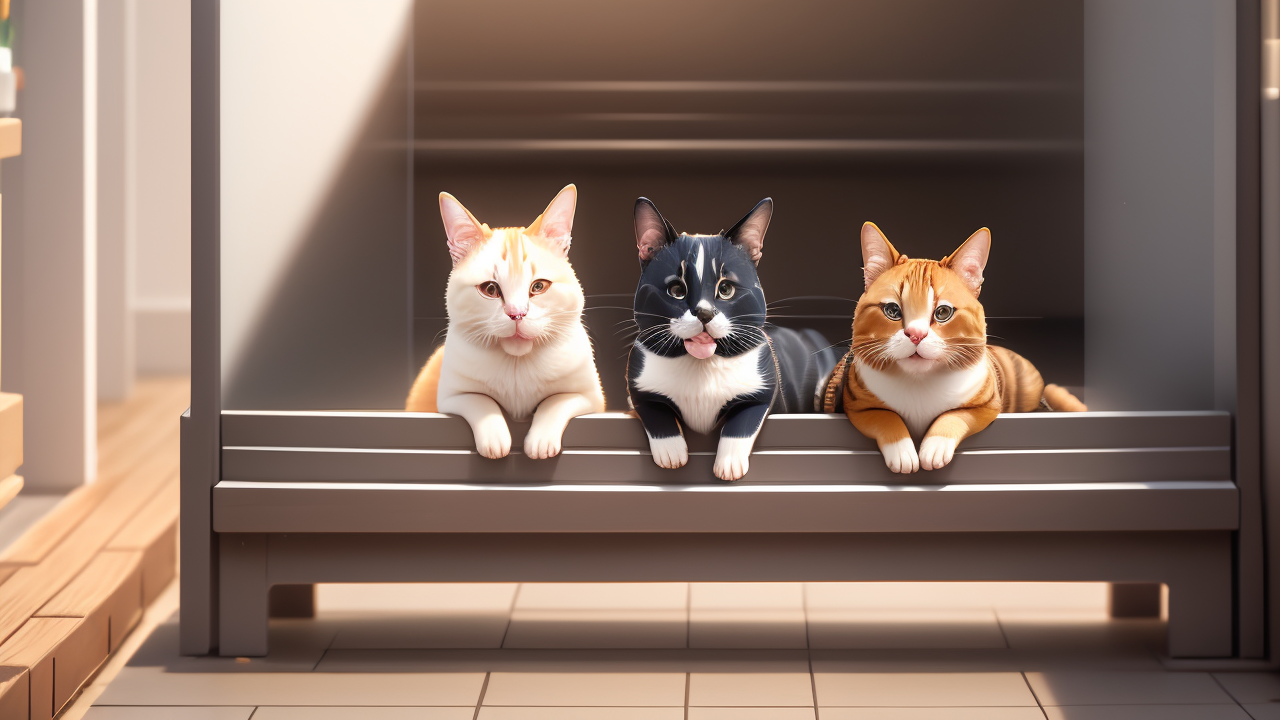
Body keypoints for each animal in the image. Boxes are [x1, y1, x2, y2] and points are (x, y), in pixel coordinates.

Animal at [409, 181, 609, 456]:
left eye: (538, 287)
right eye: (490, 289)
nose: (517, 313)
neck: (517, 365)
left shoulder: (591, 398)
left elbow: (555, 401)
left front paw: (540, 441)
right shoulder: (451, 397)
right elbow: (481, 401)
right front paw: (495, 438)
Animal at [627, 193, 844, 479]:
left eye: (726, 289)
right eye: (676, 290)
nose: (704, 312)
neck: (702, 366)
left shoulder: (764, 385)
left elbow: (744, 419)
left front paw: (728, 464)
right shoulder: (638, 380)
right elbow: (651, 408)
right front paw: (671, 452)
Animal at [819, 221, 1090, 474]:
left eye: (943, 312)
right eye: (892, 310)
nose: (916, 335)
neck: (918, 382)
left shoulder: (987, 405)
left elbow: (955, 414)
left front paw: (935, 446)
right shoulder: (856, 406)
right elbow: (884, 415)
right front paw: (902, 451)